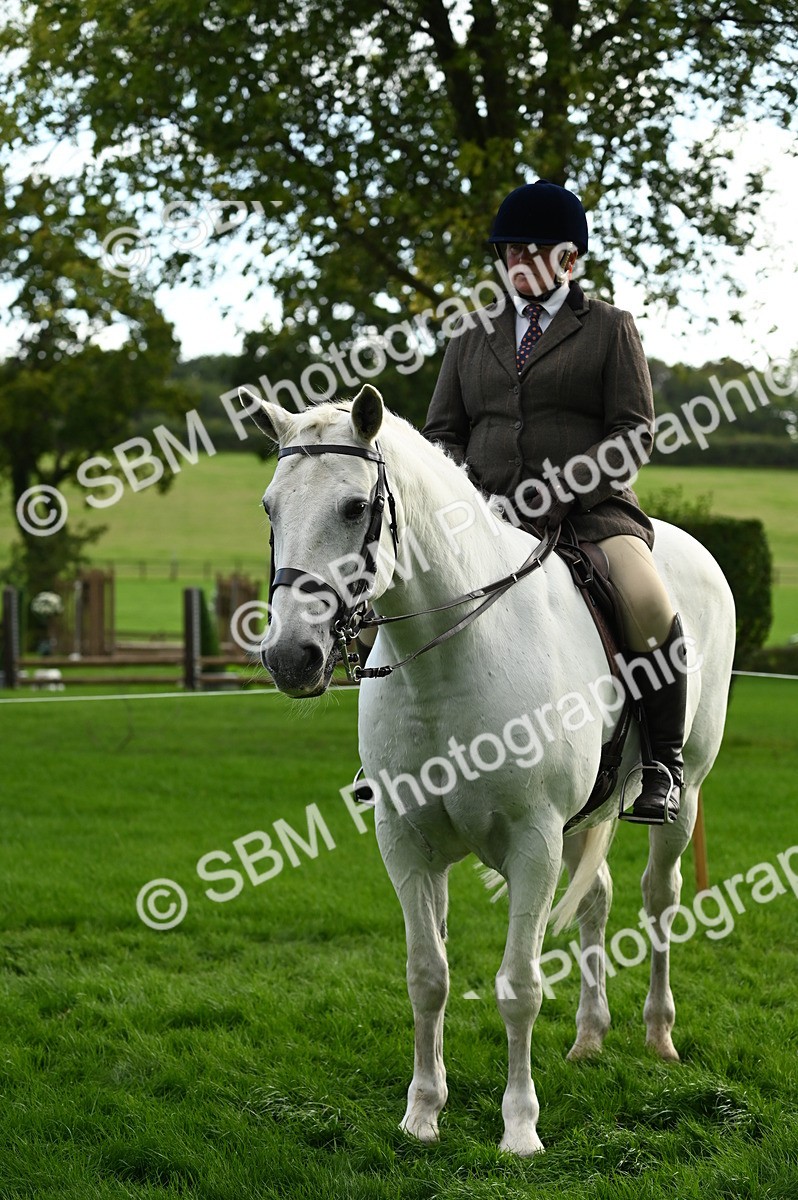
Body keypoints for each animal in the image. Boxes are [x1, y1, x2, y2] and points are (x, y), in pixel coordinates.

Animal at [242, 383, 736, 1157]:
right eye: (271, 507)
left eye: (353, 508)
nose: (291, 657)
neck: (449, 659)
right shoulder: (407, 842)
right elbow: (427, 976)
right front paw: (422, 1114)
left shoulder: (533, 843)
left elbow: (519, 984)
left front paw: (520, 1127)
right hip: (583, 820)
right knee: (597, 899)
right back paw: (589, 1038)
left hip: (681, 798)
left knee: (659, 896)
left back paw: (658, 1036)